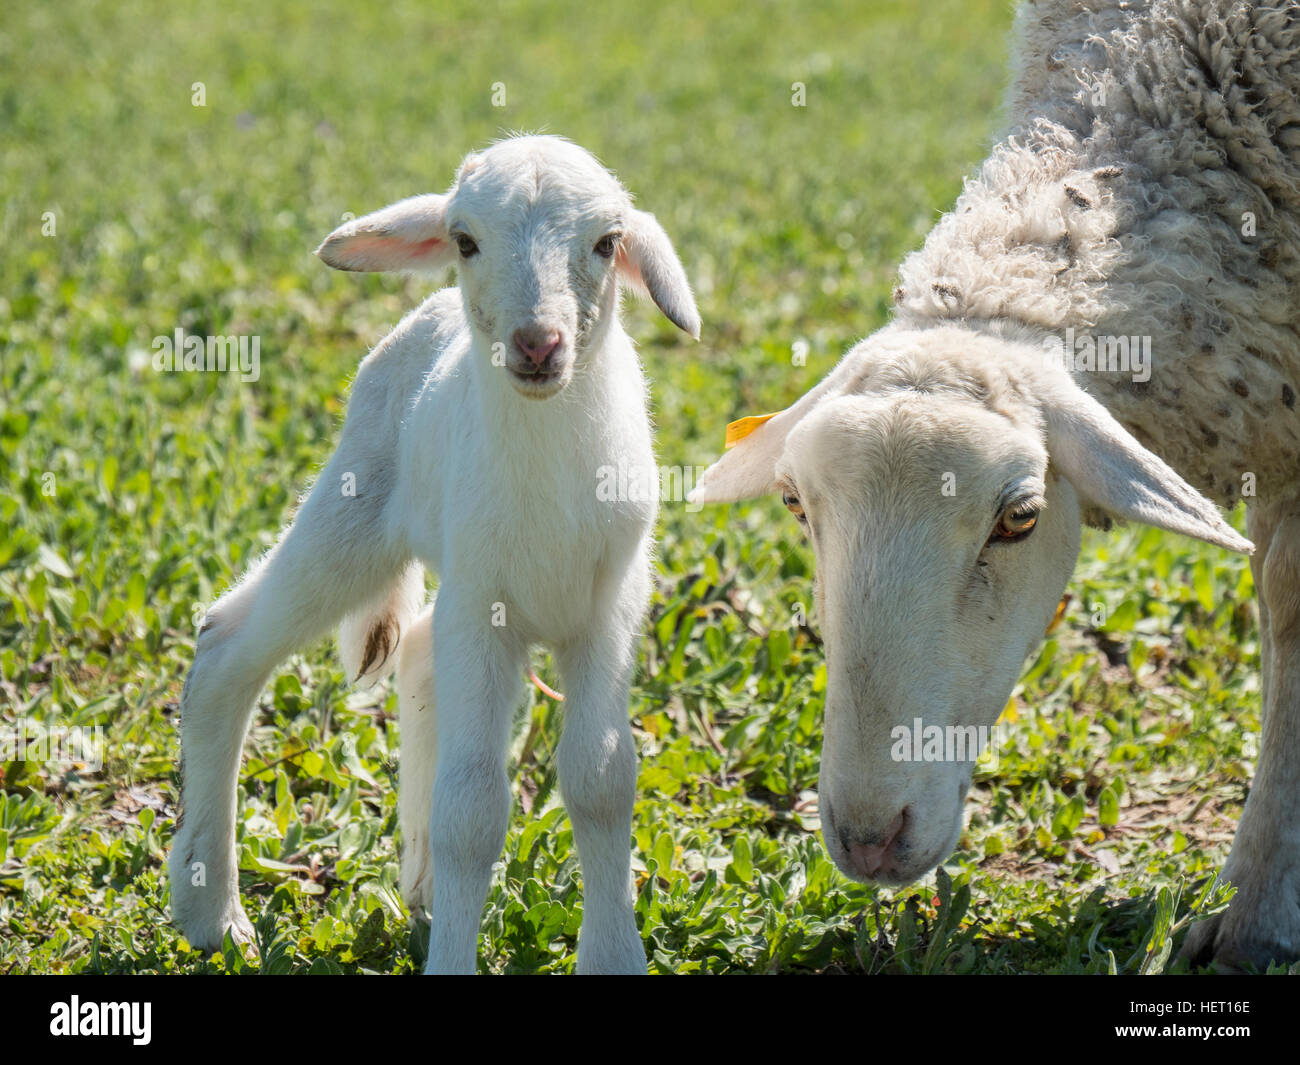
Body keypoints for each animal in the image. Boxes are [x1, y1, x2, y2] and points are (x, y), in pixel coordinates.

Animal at [167, 134, 701, 975]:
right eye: (465, 239)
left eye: (607, 242)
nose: (537, 343)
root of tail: (433, 310)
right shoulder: (483, 606)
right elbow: (472, 810)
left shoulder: (608, 606)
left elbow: (602, 778)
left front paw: (613, 953)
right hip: (355, 513)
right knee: (227, 645)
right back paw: (212, 910)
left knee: (416, 652)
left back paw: (416, 886)